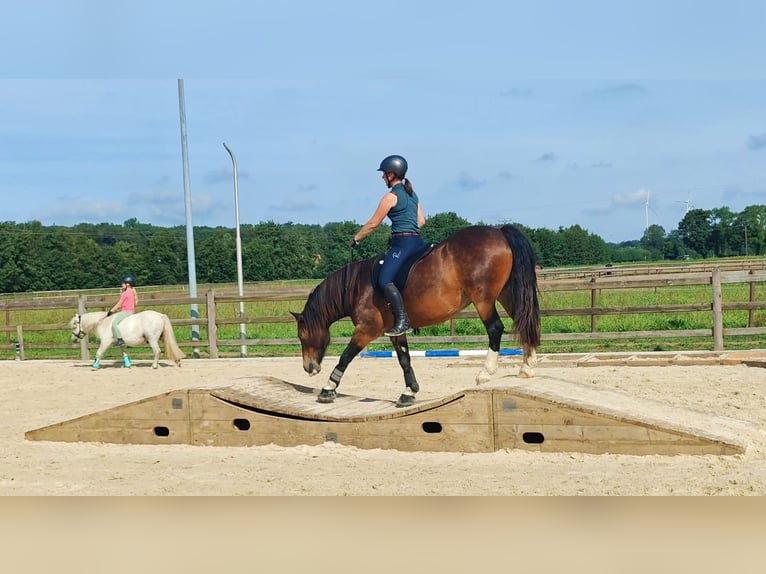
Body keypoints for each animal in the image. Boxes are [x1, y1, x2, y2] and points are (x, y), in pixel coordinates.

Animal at [291, 224, 541, 407]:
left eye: (302, 336)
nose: (309, 368)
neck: (354, 286)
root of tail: (499, 231)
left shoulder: (367, 329)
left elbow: (346, 356)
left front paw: (328, 388)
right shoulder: (394, 330)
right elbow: (404, 359)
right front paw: (409, 392)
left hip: (484, 300)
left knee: (495, 329)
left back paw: (485, 373)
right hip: (508, 294)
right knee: (524, 322)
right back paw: (527, 367)